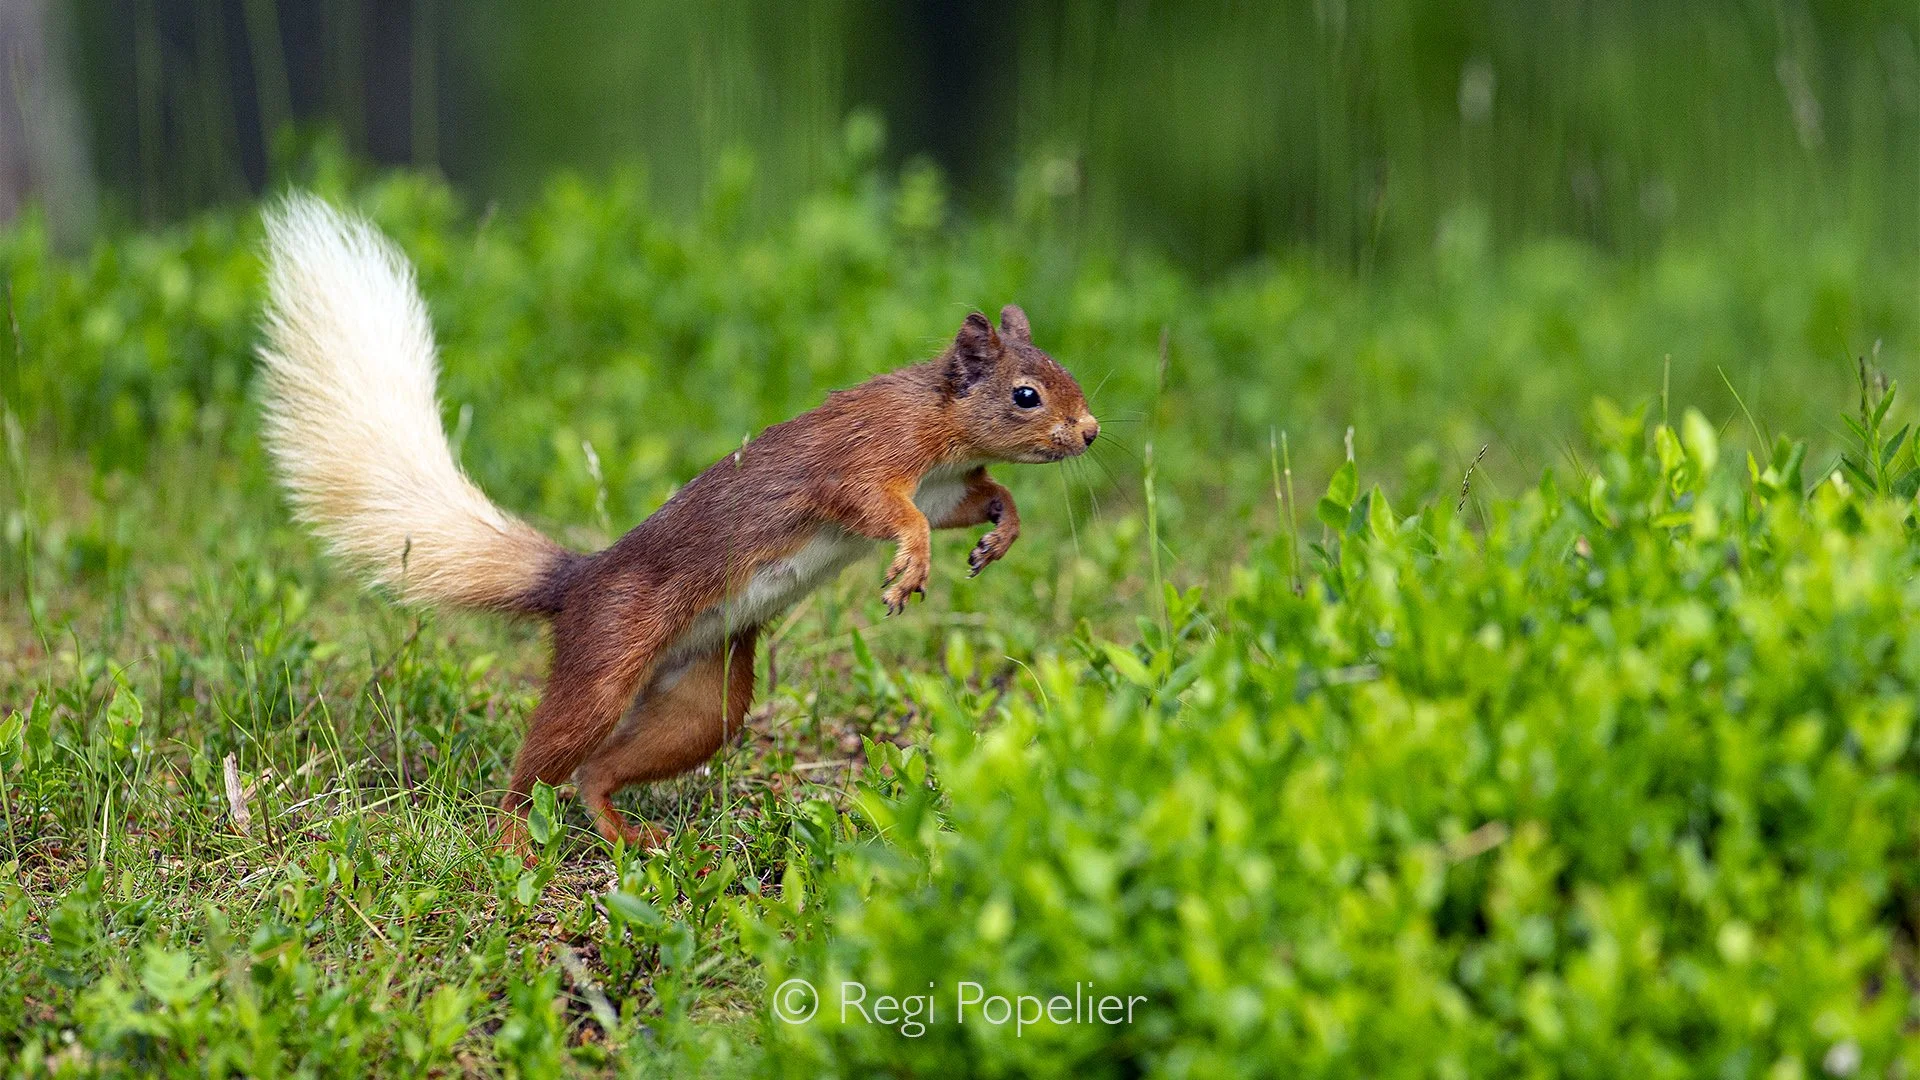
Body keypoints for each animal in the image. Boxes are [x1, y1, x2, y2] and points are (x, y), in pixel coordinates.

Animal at [255, 196, 1098, 851]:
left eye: (1069, 374)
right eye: (1026, 394)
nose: (1090, 433)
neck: (937, 425)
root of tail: (579, 582)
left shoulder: (946, 487)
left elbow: (981, 499)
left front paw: (1000, 534)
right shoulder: (863, 462)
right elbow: (887, 512)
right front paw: (909, 568)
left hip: (704, 704)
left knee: (598, 771)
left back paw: (627, 833)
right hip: (606, 662)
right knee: (543, 764)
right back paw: (514, 842)